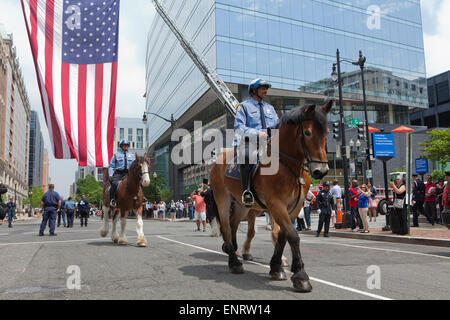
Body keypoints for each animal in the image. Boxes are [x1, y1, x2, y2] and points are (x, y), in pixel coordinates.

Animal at [209, 102, 332, 292]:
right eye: (307, 132)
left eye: (326, 132)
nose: (321, 171)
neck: (287, 166)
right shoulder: (276, 204)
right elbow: (293, 235)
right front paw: (301, 276)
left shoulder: (294, 206)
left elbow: (282, 235)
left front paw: (277, 267)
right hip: (222, 198)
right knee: (227, 228)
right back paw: (234, 262)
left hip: (242, 205)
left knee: (234, 224)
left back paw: (234, 251)